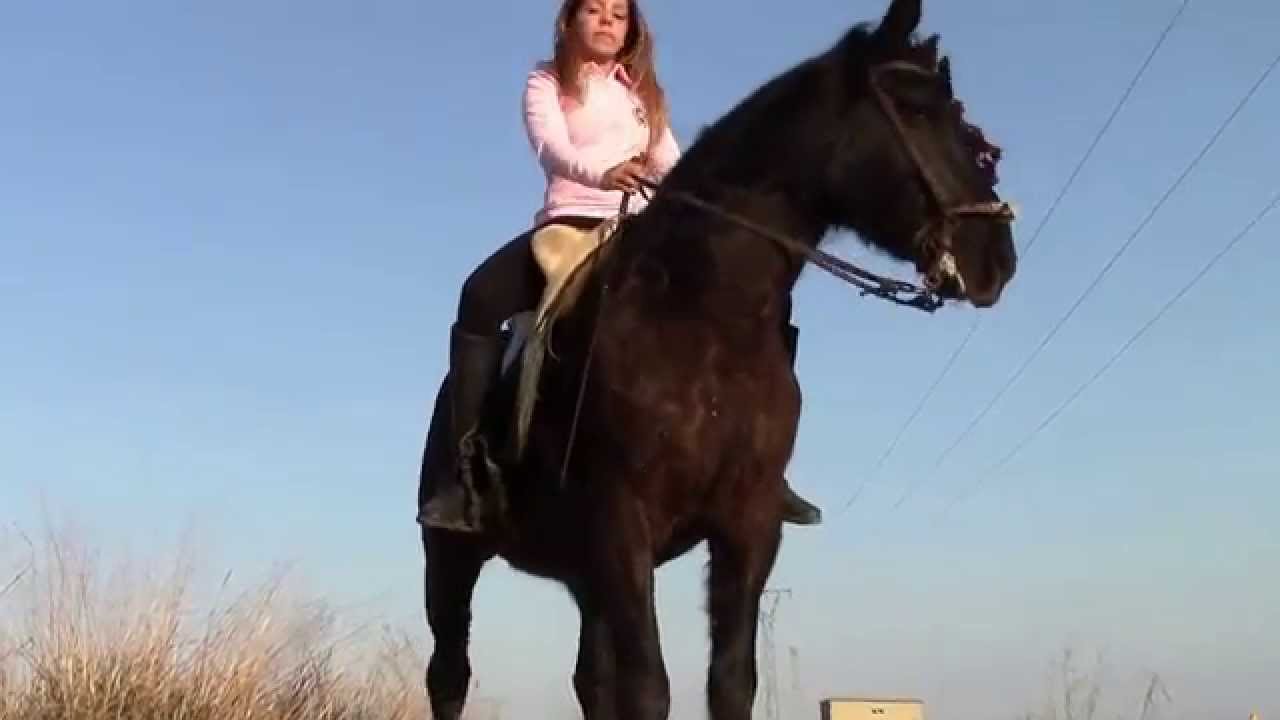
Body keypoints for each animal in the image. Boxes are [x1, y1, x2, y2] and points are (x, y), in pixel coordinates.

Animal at [416, 0, 1018, 718]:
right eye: (917, 109)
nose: (997, 259)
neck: (701, 315)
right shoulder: (624, 521)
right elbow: (649, 687)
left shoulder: (748, 527)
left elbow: (730, 682)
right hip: (452, 558)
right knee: (450, 673)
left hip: (584, 573)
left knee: (590, 679)